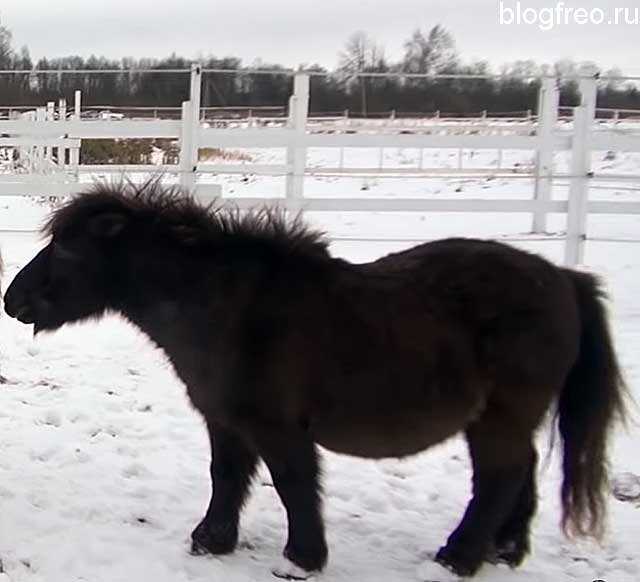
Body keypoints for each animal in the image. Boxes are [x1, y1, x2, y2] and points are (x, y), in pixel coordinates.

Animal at [2, 184, 628, 580]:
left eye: (68, 249)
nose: (13, 300)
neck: (229, 307)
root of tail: (563, 278)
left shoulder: (279, 427)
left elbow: (294, 484)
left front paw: (302, 558)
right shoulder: (226, 422)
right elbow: (227, 477)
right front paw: (212, 541)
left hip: (500, 416)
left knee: (499, 477)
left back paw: (460, 558)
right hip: (505, 418)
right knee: (521, 473)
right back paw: (504, 551)